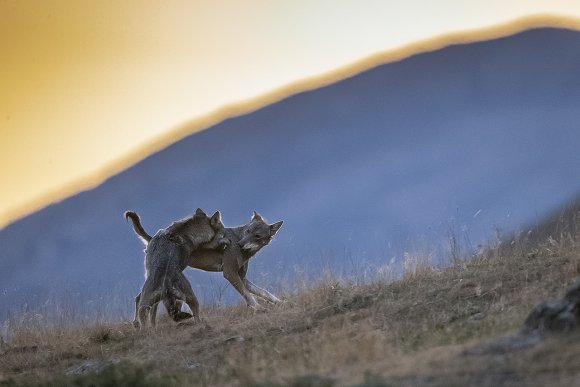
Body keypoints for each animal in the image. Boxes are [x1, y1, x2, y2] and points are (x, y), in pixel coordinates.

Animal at [127, 211, 284, 320]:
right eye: (248, 231)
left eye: (257, 236)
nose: (240, 244)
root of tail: (153, 237)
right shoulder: (230, 274)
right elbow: (249, 296)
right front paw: (259, 309)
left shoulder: (242, 278)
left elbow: (264, 293)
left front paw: (280, 302)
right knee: (142, 300)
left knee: (144, 300)